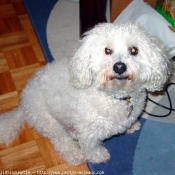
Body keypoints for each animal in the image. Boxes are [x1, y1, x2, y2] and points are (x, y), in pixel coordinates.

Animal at [0, 22, 170, 165]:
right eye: (107, 50)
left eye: (134, 50)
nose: (119, 67)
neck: (115, 96)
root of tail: (23, 103)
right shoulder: (89, 133)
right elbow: (91, 147)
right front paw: (98, 156)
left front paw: (131, 126)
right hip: (46, 120)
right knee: (61, 140)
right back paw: (75, 155)